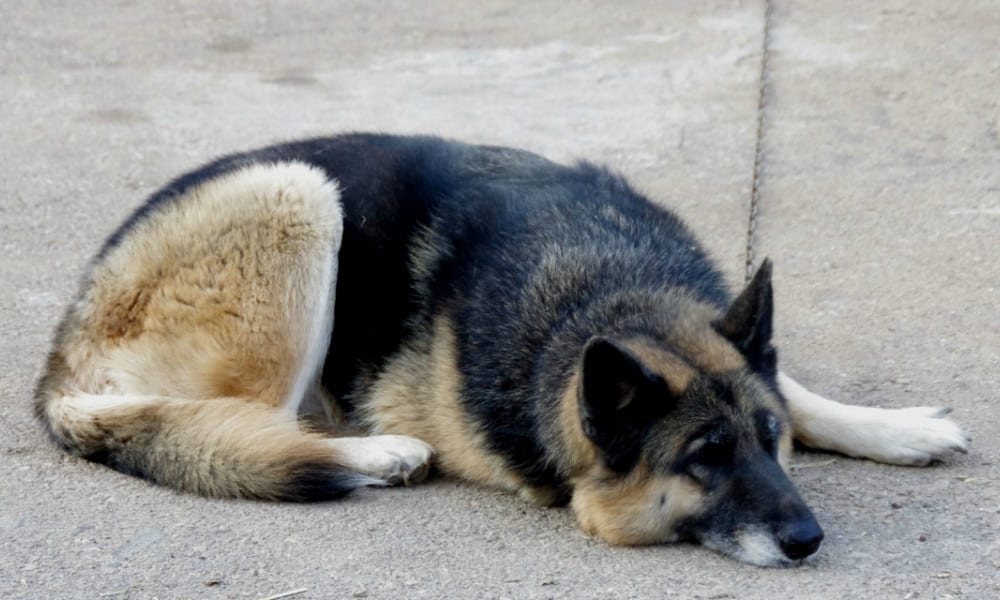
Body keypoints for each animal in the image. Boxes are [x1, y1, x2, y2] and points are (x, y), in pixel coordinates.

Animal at [33, 134, 968, 564]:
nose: (808, 539)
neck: (607, 290)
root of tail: (62, 357)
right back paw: (378, 452)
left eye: (769, 443)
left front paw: (900, 428)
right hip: (295, 194)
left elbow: (798, 388)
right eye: (703, 459)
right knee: (243, 422)